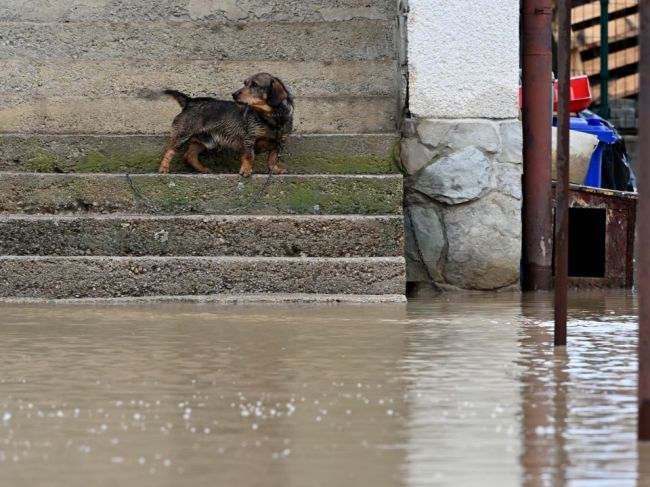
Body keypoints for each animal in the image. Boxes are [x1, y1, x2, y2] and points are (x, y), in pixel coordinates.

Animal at [149, 73, 292, 176]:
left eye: (255, 85)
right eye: (245, 83)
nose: (234, 94)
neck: (272, 118)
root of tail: (189, 101)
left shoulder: (279, 143)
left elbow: (273, 158)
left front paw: (275, 170)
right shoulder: (249, 139)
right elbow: (249, 156)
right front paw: (246, 170)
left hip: (203, 141)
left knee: (189, 155)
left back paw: (203, 169)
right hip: (182, 135)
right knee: (170, 150)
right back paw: (163, 168)